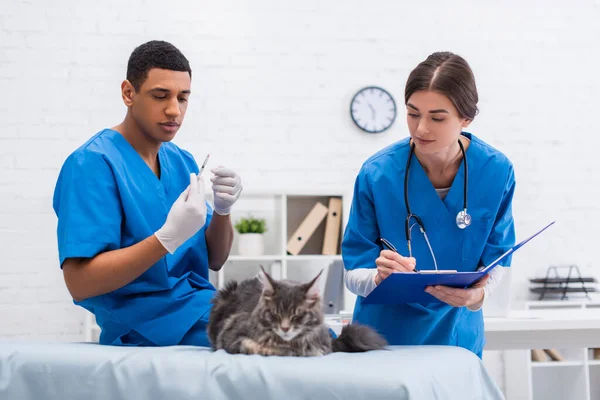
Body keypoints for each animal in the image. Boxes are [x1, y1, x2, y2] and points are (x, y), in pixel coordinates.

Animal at [206, 266, 386, 356]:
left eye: (297, 315)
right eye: (275, 313)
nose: (285, 328)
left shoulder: (322, 344)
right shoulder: (231, 334)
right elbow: (253, 345)